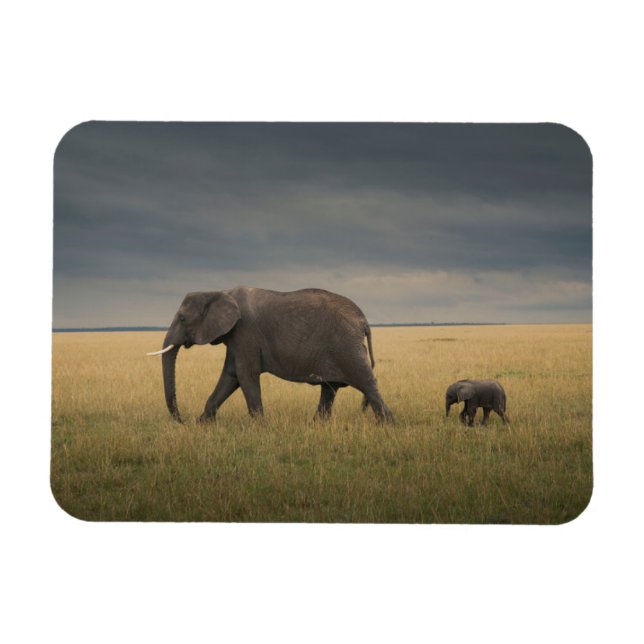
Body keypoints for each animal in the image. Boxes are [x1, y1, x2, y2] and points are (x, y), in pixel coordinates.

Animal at [147, 286, 395, 423]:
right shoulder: (235, 336)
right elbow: (230, 376)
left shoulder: (245, 331)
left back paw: (387, 425)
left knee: (366, 383)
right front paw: (202, 424)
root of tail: (364, 321)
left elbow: (245, 374)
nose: (183, 420)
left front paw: (259, 427)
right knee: (330, 388)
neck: (219, 292)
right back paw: (316, 424)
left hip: (346, 346)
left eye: (182, 318)